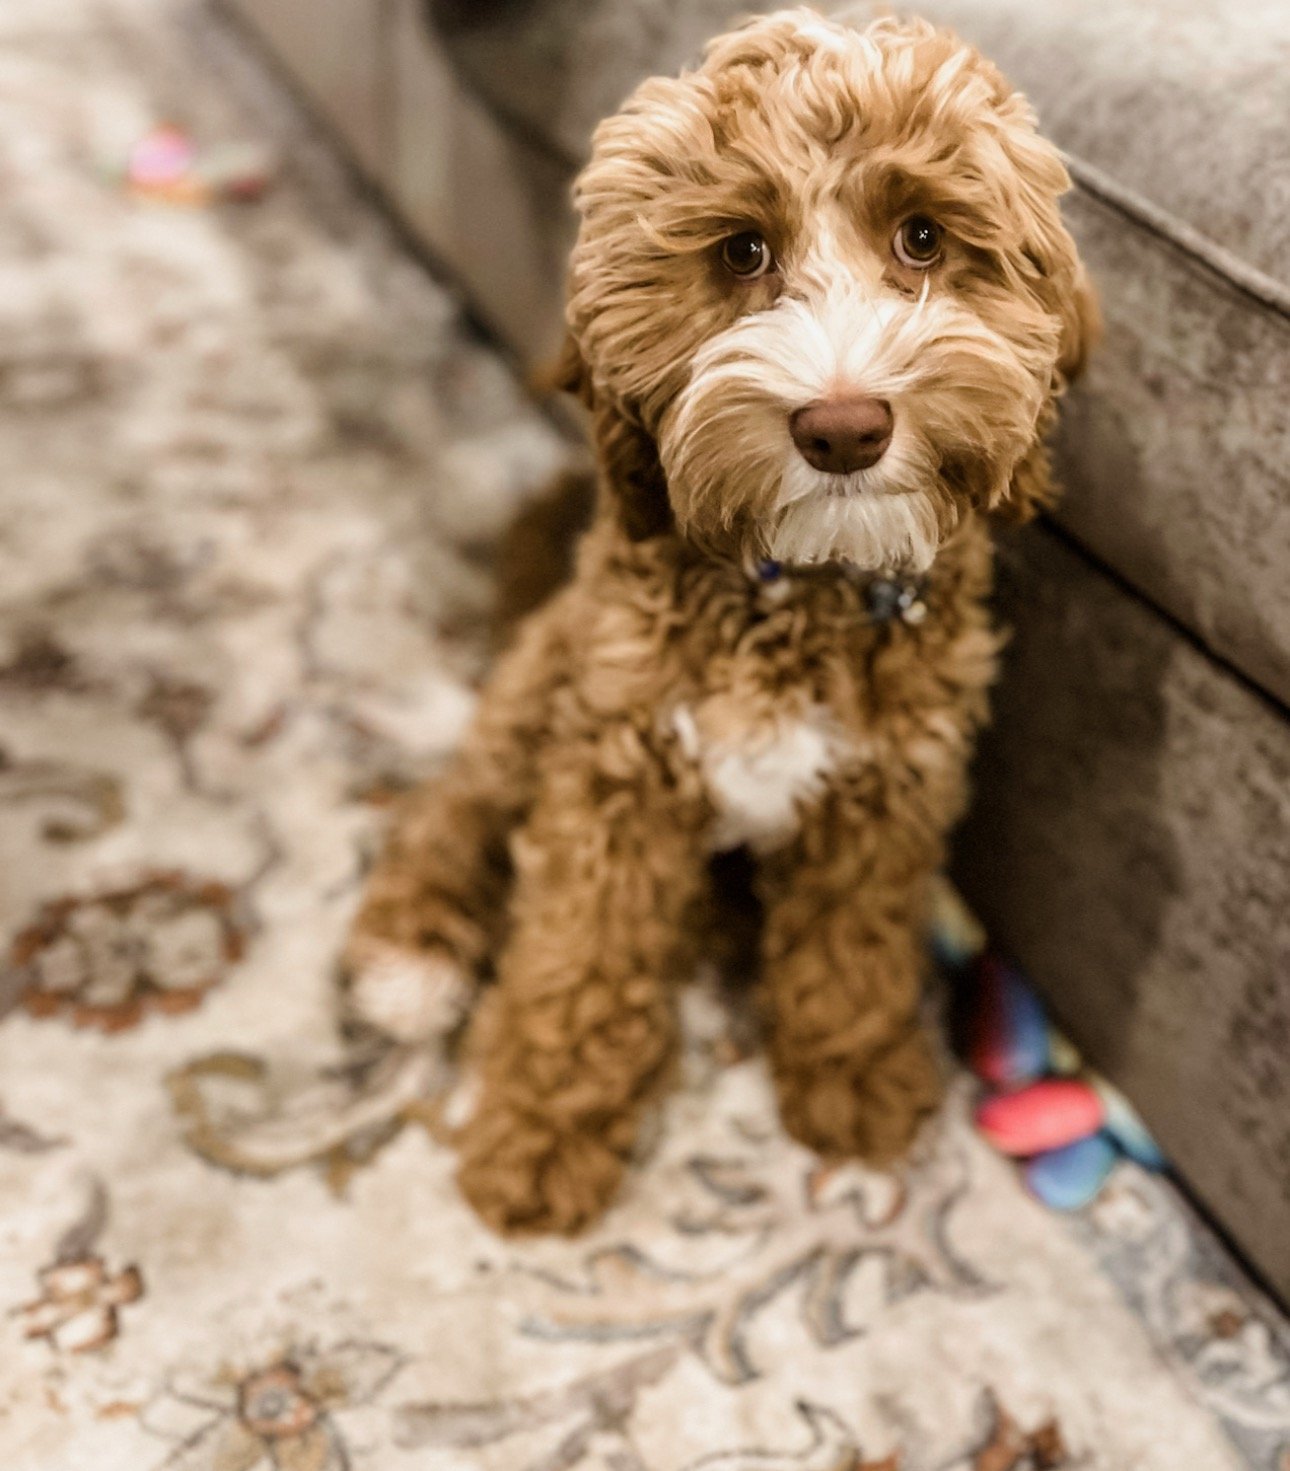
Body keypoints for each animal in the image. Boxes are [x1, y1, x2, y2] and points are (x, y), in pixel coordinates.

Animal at [342, 8, 1088, 1229]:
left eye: (924, 239)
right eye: (742, 251)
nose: (844, 426)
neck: (803, 584)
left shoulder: (887, 787)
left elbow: (853, 942)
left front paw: (857, 1083)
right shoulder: (616, 766)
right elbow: (580, 956)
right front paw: (538, 1135)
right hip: (542, 681)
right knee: (458, 804)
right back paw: (409, 951)